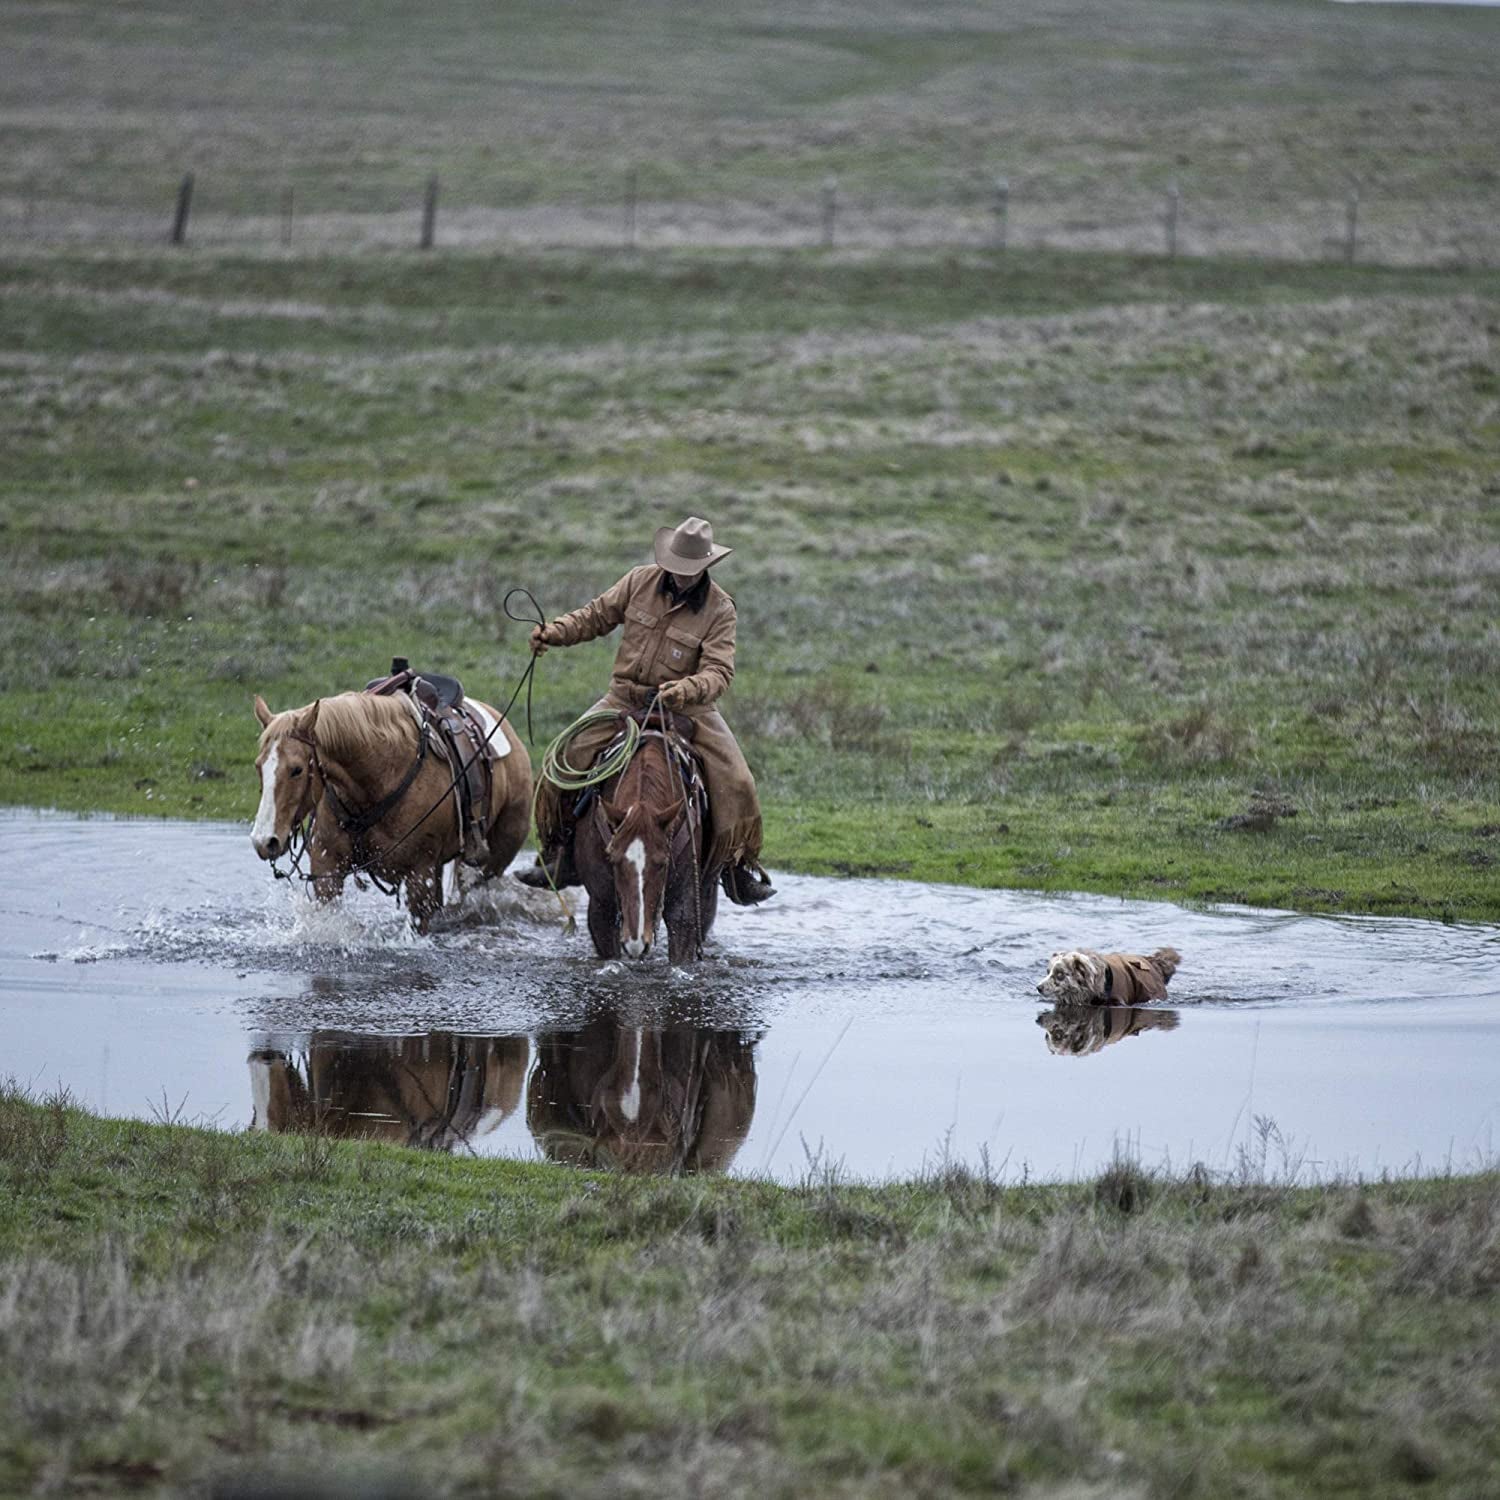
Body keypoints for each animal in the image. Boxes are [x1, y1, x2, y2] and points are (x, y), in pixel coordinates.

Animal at [256, 690, 534, 924]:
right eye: (259, 766)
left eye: (297, 770)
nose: (263, 841)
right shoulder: (327, 867)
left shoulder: (419, 877)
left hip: (493, 860)